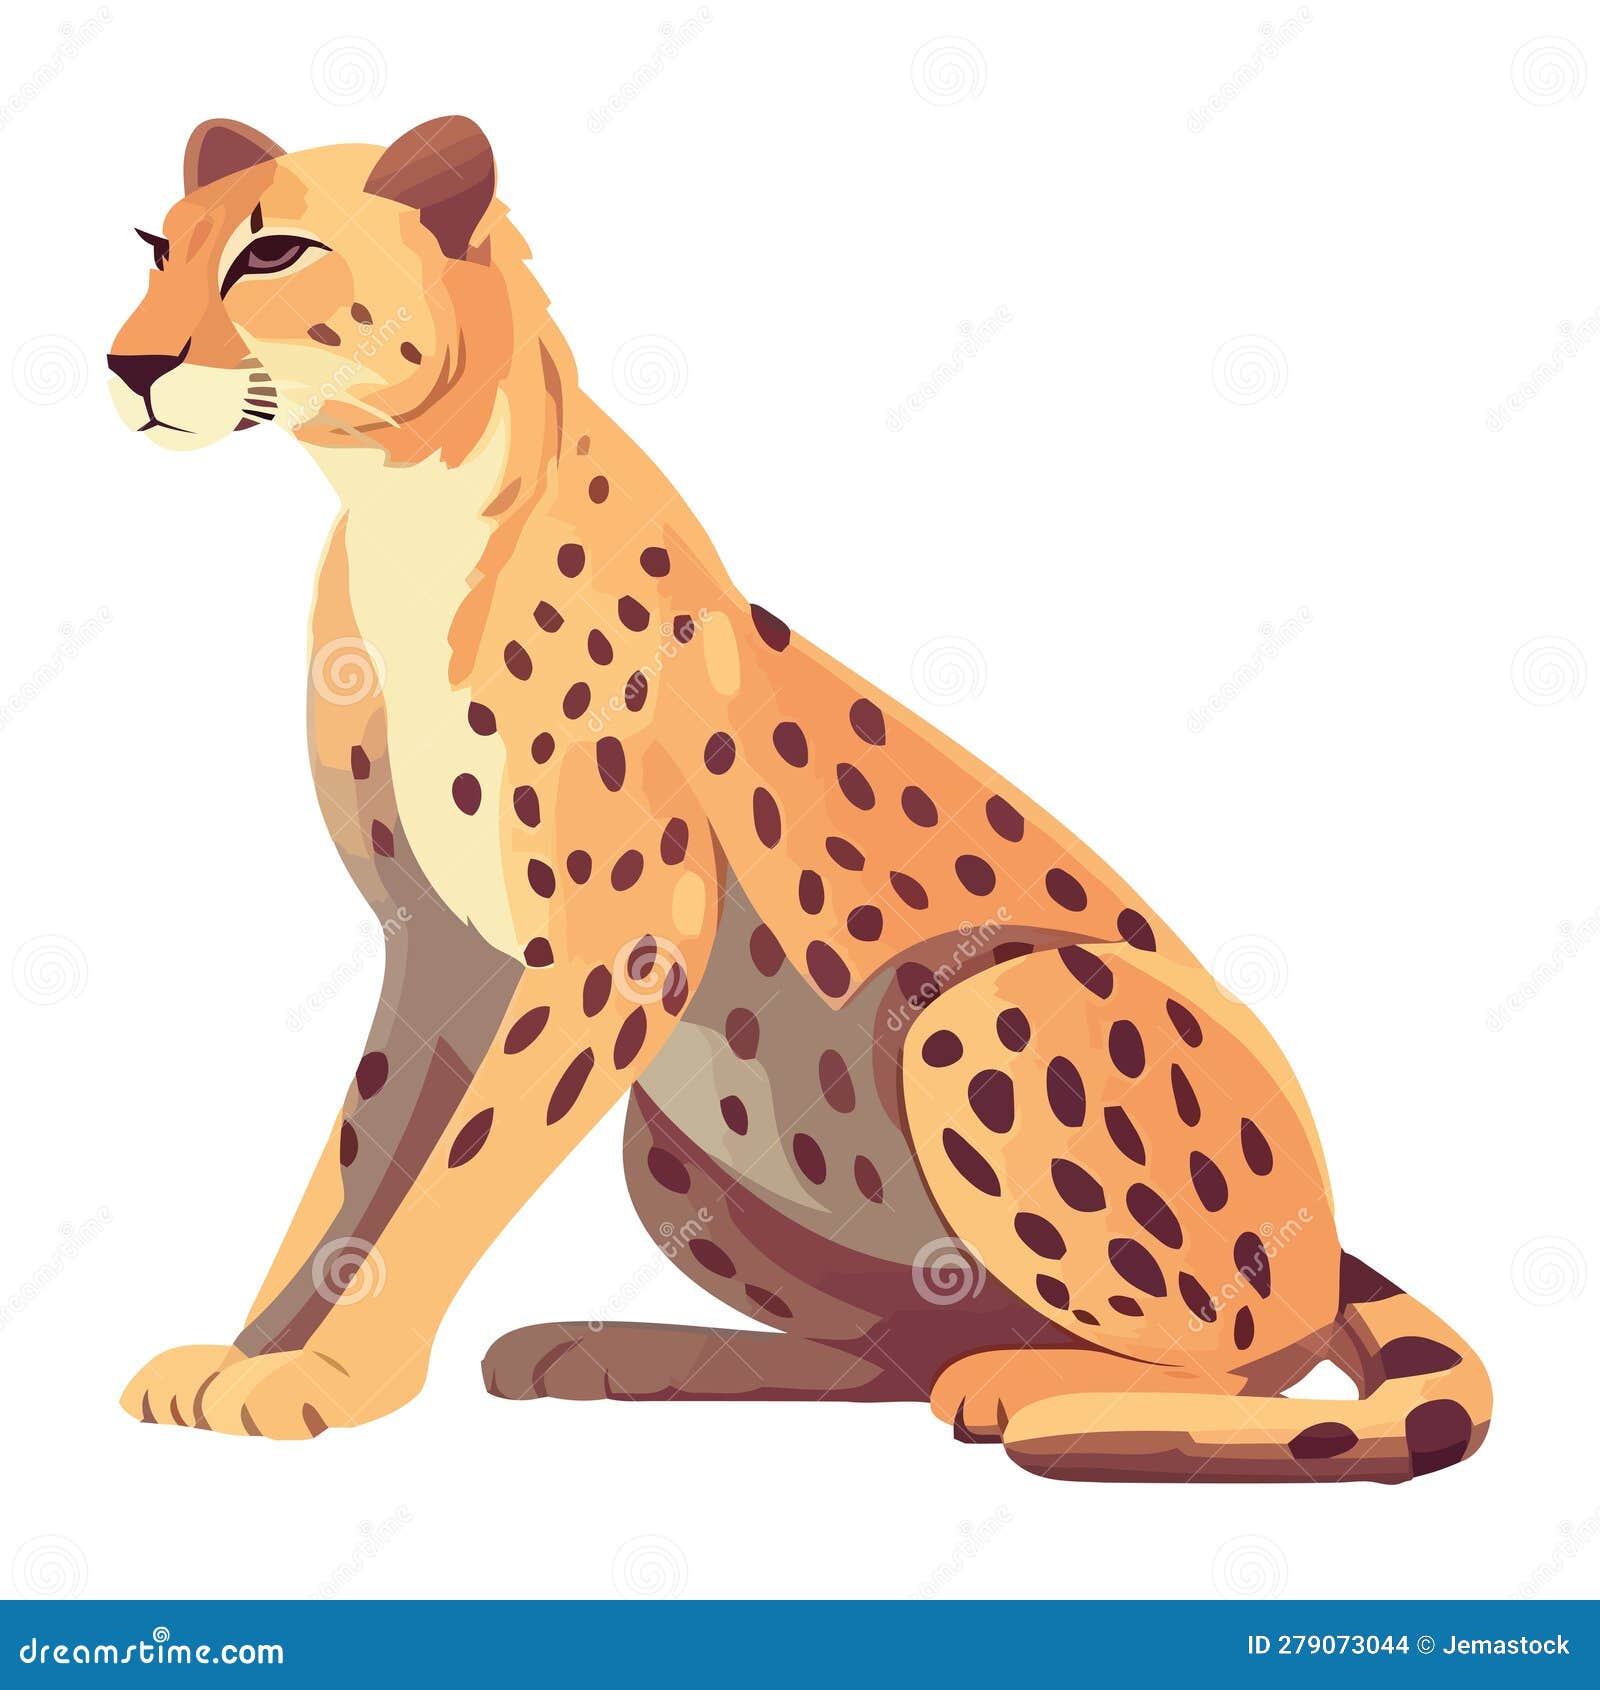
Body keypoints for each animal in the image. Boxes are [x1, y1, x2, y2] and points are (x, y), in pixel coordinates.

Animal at [106, 116, 1489, 1481]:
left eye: (273, 252)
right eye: (158, 249)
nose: (128, 365)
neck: (407, 502)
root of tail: (1327, 1240)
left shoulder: (617, 947)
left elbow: (455, 1171)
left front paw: (330, 1379)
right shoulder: (443, 950)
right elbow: (359, 1161)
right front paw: (251, 1349)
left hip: (984, 1005)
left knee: (1236, 1356)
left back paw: (1037, 1390)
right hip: (669, 1147)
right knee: (892, 1351)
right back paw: (624, 1351)